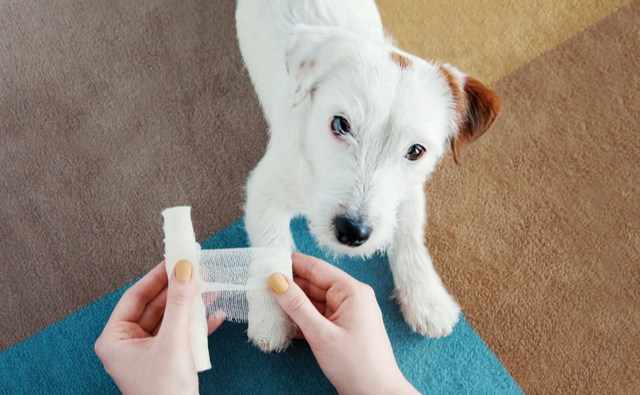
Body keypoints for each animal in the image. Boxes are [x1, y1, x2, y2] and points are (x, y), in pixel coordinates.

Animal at [235, 0, 500, 352]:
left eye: (416, 151)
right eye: (340, 124)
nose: (352, 232)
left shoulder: (409, 192)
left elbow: (409, 236)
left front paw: (426, 297)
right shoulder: (264, 190)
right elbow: (271, 251)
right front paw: (272, 317)